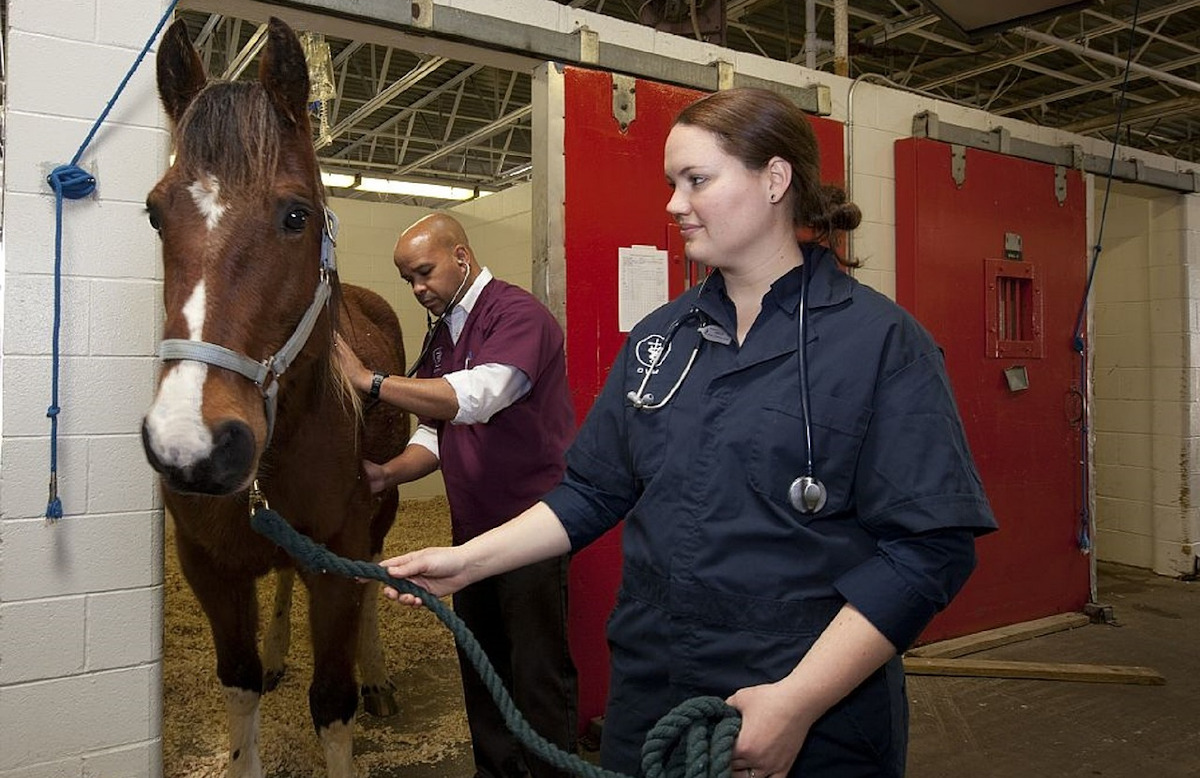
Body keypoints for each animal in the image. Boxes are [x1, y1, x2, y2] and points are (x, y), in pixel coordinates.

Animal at [141, 18, 408, 778]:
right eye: (154, 215)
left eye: (297, 214)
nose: (192, 443)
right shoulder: (209, 569)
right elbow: (240, 688)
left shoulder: (337, 563)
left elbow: (333, 705)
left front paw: (357, 686)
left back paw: (379, 676)